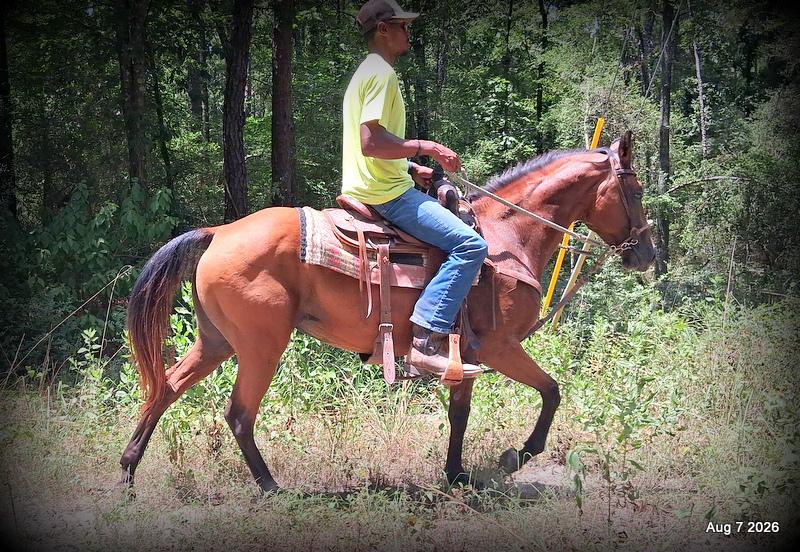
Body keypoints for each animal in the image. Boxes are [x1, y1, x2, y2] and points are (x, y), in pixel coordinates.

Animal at [120, 131, 655, 493]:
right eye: (637, 191)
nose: (647, 254)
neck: (507, 238)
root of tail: (219, 232)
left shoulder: (466, 356)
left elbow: (460, 413)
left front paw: (456, 474)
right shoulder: (499, 347)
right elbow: (551, 391)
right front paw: (516, 456)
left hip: (216, 340)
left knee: (164, 388)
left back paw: (127, 471)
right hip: (260, 345)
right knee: (239, 414)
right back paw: (271, 488)